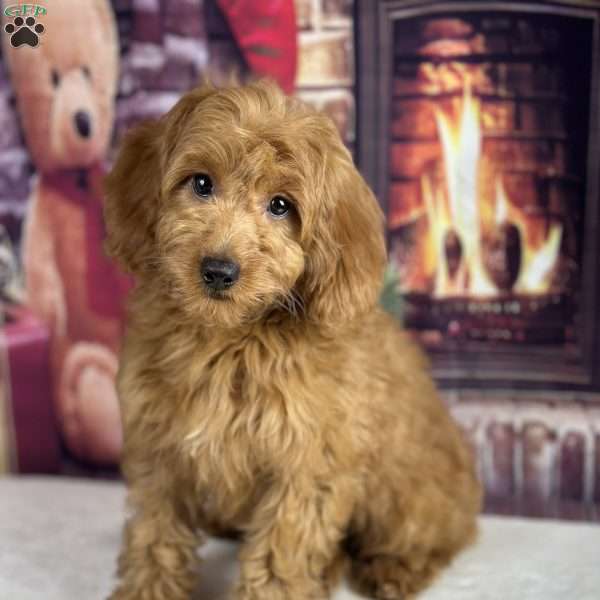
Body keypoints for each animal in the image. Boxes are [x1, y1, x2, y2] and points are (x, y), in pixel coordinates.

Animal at [105, 81, 480, 600]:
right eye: (201, 183)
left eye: (280, 206)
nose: (218, 270)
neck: (229, 339)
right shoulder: (159, 449)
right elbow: (154, 535)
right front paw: (147, 590)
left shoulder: (307, 464)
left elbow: (280, 554)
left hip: (405, 493)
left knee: (434, 536)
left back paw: (393, 570)